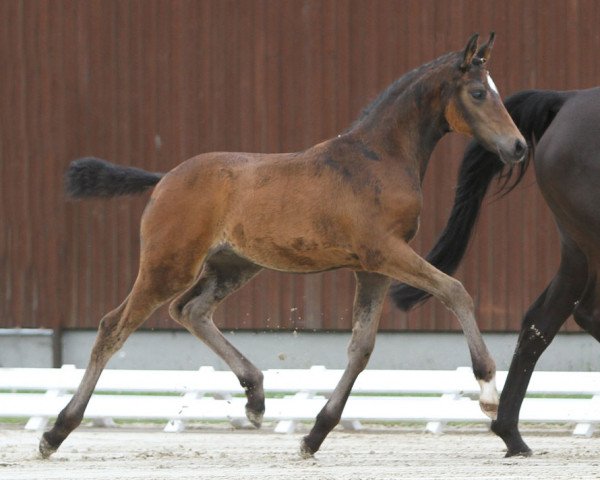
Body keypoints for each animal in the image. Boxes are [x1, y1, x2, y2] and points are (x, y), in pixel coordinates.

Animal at [39, 35, 524, 460]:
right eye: (479, 92)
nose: (518, 146)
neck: (378, 159)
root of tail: (163, 180)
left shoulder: (372, 267)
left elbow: (361, 347)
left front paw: (314, 435)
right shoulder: (385, 253)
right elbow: (455, 291)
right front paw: (488, 391)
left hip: (234, 266)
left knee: (190, 311)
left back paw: (255, 396)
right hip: (168, 265)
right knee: (113, 326)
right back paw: (55, 432)